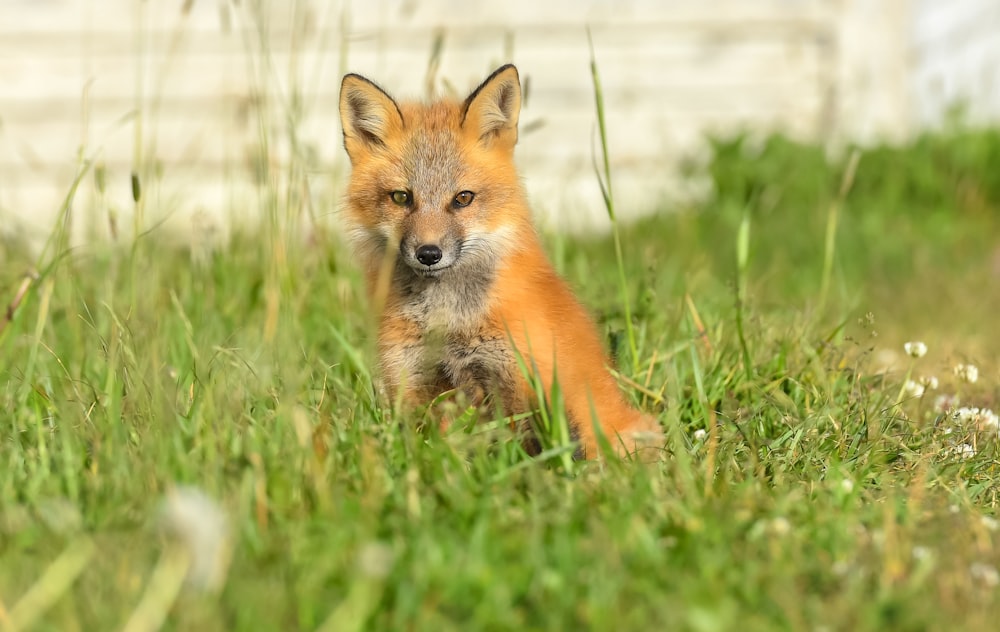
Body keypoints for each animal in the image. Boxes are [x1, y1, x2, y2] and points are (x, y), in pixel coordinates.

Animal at [340, 64, 660, 460]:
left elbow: (526, 452)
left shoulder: (517, 378)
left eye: (462, 198)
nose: (428, 254)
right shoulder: (414, 380)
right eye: (401, 197)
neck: (449, 322)